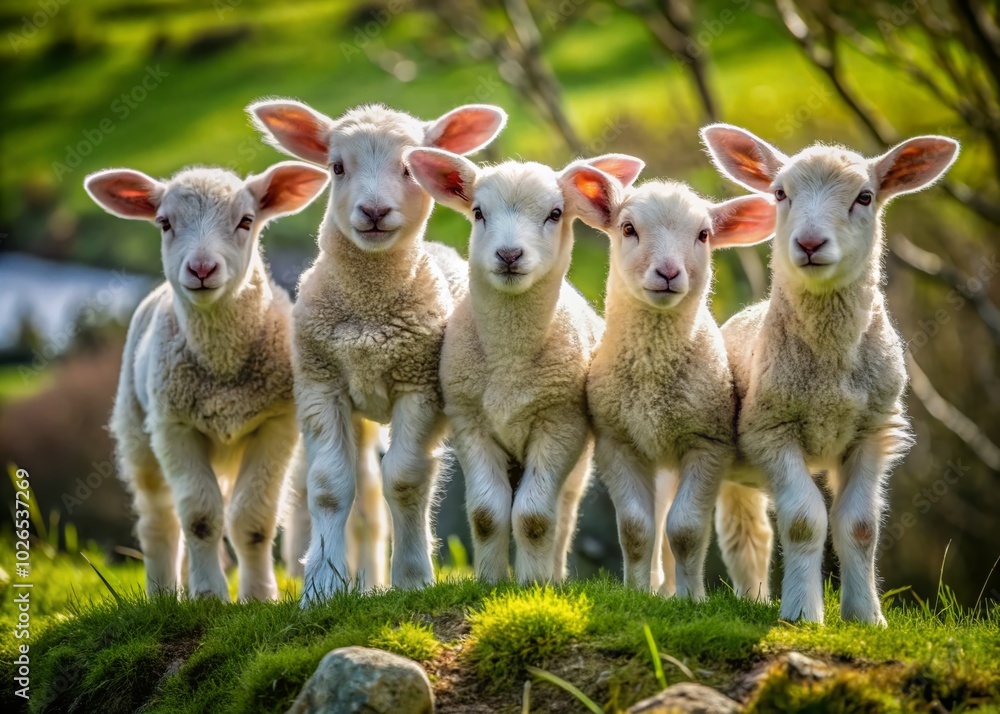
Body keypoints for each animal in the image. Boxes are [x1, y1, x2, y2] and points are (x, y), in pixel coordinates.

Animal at [84, 161, 330, 600]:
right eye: (164, 223)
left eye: (246, 220)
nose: (201, 269)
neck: (222, 368)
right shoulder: (175, 426)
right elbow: (200, 518)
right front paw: (210, 597)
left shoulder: (275, 425)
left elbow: (252, 520)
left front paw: (257, 596)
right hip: (139, 433)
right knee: (160, 520)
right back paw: (164, 595)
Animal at [248, 99, 507, 599]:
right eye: (336, 167)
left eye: (408, 168)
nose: (373, 210)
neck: (369, 315)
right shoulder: (321, 383)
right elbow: (330, 488)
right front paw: (321, 587)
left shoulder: (418, 386)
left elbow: (405, 481)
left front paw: (412, 578)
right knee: (363, 496)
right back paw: (362, 582)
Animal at [406, 149, 644, 583]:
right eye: (478, 212)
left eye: (555, 213)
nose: (509, 255)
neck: (510, 364)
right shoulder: (470, 421)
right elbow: (486, 515)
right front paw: (490, 583)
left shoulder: (561, 423)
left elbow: (534, 519)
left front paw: (532, 585)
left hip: (576, 465)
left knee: (562, 517)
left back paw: (553, 576)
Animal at [567, 176, 776, 599]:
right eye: (628, 228)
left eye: (703, 235)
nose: (667, 272)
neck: (652, 374)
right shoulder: (617, 442)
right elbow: (636, 529)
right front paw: (636, 594)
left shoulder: (708, 443)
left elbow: (686, 530)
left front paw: (693, 600)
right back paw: (661, 589)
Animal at [700, 124, 959, 624]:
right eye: (780, 193)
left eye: (865, 196)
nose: (809, 244)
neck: (830, 376)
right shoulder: (770, 429)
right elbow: (805, 522)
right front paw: (802, 613)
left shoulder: (872, 430)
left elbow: (859, 527)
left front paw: (866, 616)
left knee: (746, 532)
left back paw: (752, 598)